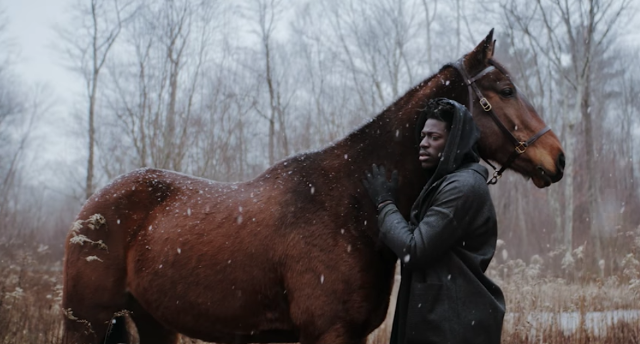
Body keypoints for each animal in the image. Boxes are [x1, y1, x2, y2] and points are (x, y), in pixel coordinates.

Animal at [62, 29, 564, 344]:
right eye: (505, 89)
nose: (557, 158)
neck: (351, 205)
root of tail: (92, 207)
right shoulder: (327, 332)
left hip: (154, 321)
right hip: (86, 321)